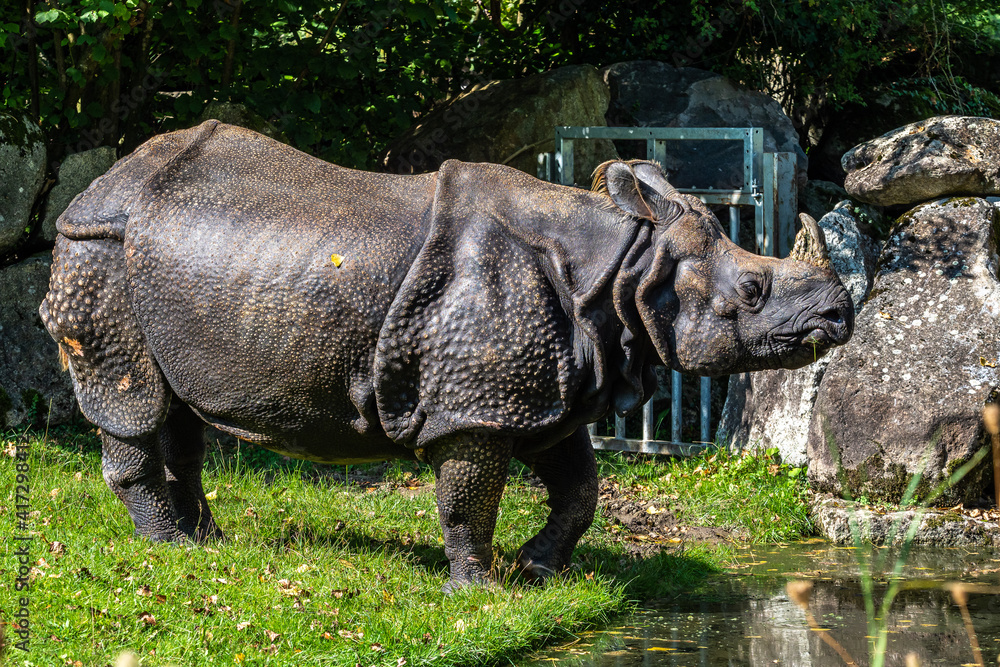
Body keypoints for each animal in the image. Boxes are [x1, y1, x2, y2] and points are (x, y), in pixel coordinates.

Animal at [41, 120, 852, 591]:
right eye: (752, 289)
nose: (841, 315)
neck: (625, 271)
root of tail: (96, 186)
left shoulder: (552, 387)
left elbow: (580, 488)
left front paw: (538, 569)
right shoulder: (476, 405)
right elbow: (469, 497)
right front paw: (480, 592)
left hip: (159, 266)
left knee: (176, 405)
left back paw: (210, 543)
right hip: (99, 252)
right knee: (132, 399)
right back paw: (170, 549)